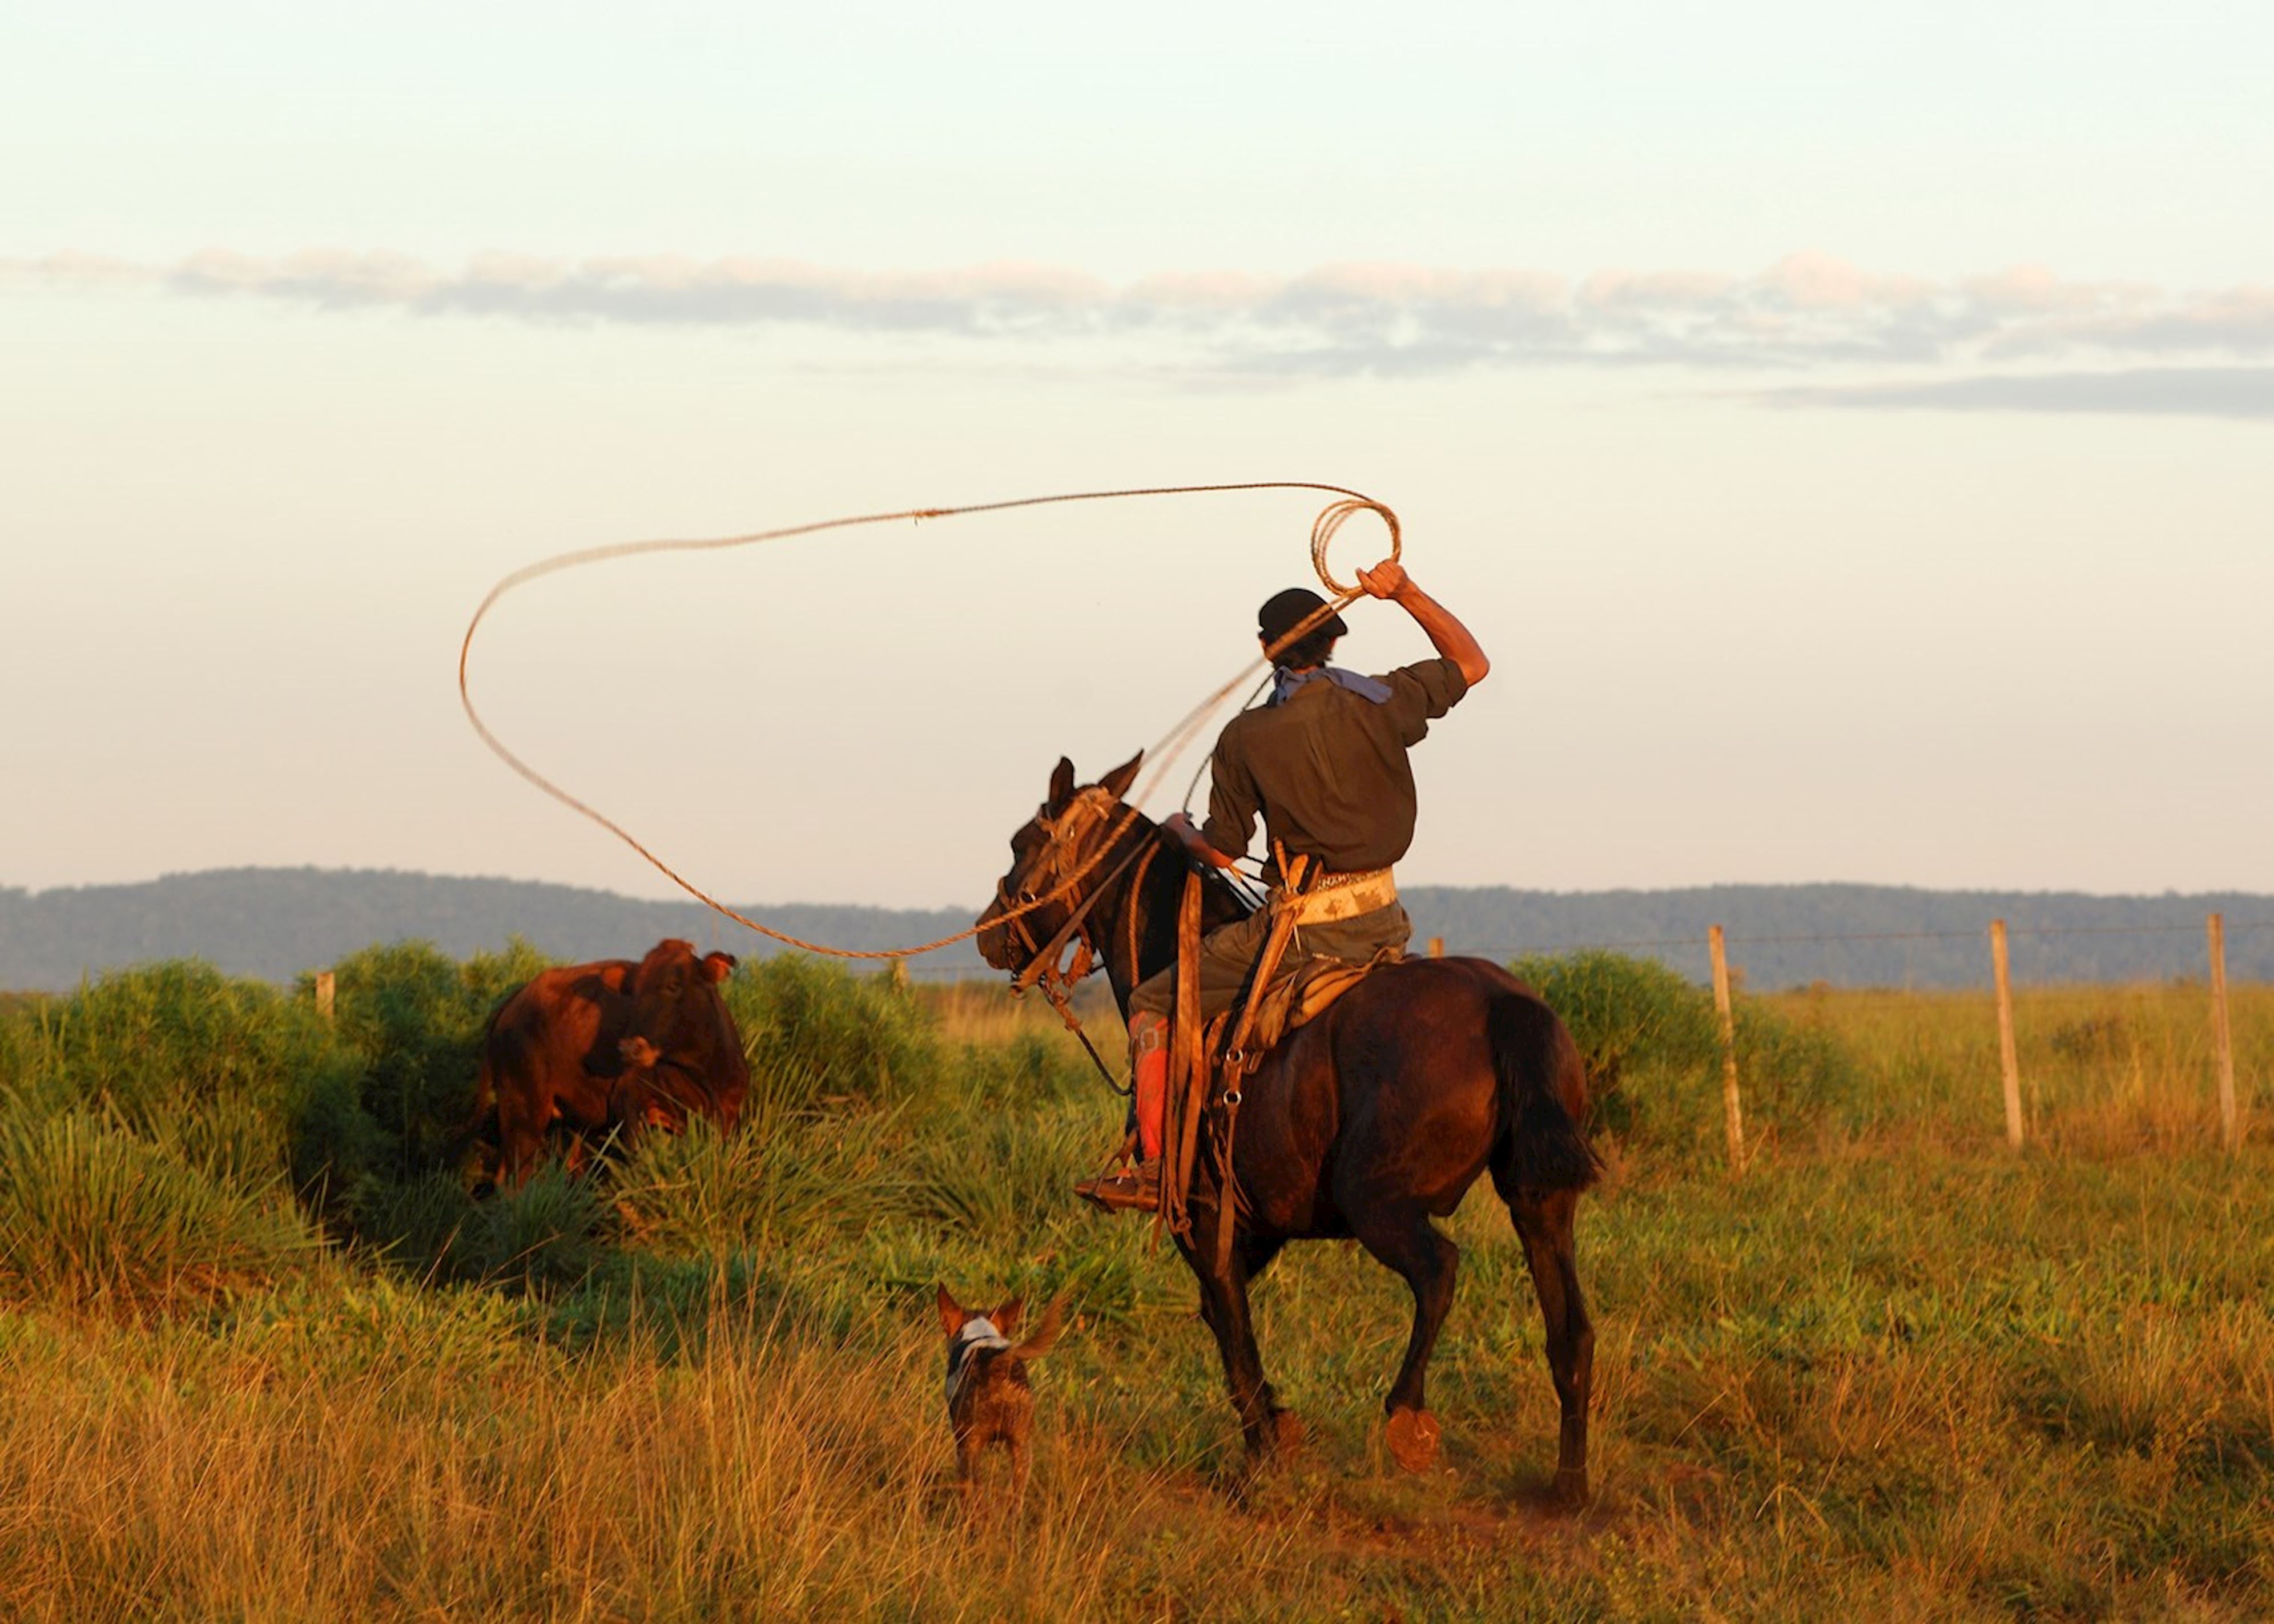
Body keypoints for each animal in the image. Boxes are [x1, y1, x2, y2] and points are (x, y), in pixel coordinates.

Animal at [475, 928, 750, 1182]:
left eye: (674, 985)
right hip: (524, 1113)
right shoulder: (632, 1108)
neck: (709, 1075)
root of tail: (515, 1001)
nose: (629, 1048)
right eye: (633, 992)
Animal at [932, 1283, 1064, 1510]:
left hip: (970, 1447)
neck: (981, 1335)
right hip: (1022, 1449)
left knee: (975, 1493)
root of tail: (998, 1362)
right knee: (1015, 1499)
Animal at [977, 750, 1601, 1501]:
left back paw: (1406, 1416)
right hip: (1540, 1203)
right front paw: (1277, 1431)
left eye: (1022, 843)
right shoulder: (1259, 1225)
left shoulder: (1204, 1220)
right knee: (1570, 1332)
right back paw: (1567, 1486)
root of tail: (1503, 1003)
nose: (990, 932)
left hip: (1377, 1202)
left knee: (1438, 1270)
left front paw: (1263, 1459)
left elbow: (1232, 1336)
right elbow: (1224, 1319)